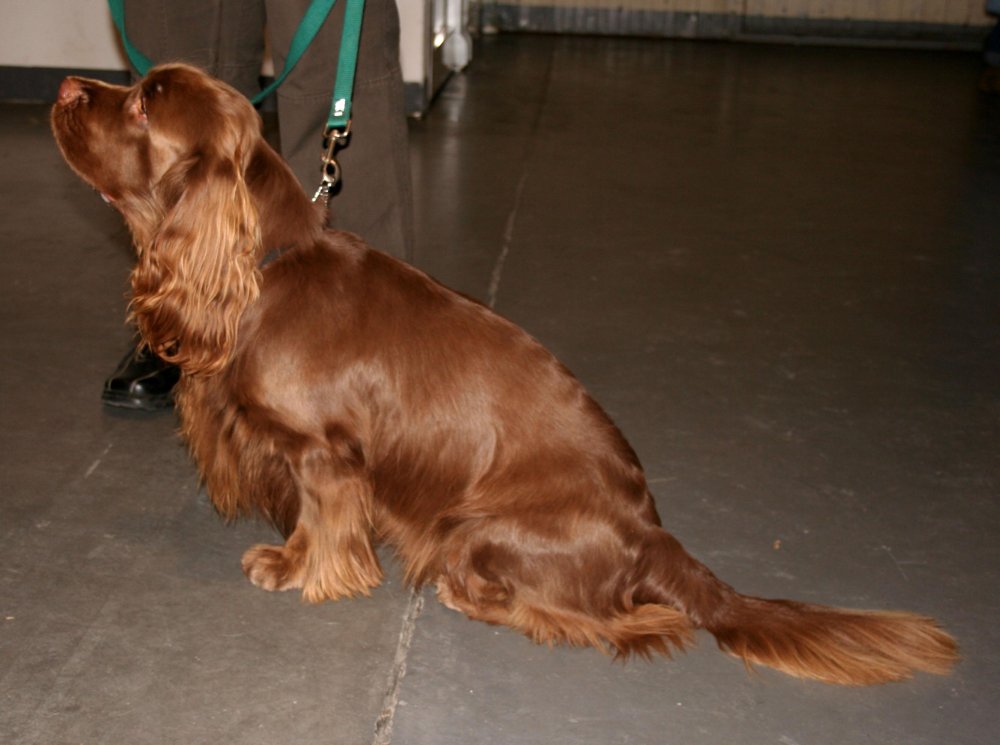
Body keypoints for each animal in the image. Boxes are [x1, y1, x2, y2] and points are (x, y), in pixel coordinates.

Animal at [50, 67, 956, 684]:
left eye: (142, 104)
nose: (64, 85)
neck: (261, 267)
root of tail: (651, 534)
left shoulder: (324, 454)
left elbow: (322, 518)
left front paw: (297, 566)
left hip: (472, 527)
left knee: (626, 623)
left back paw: (476, 597)